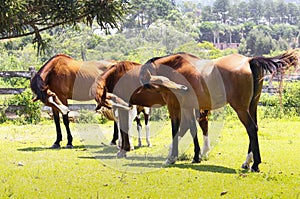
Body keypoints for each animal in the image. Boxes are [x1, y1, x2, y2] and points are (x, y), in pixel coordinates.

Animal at [139, 50, 298, 172]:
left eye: (149, 85)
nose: (183, 89)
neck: (175, 68)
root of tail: (249, 60)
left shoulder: (176, 106)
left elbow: (177, 129)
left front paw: (172, 157)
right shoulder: (189, 107)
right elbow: (190, 128)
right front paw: (195, 156)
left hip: (241, 109)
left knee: (251, 128)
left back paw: (255, 165)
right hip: (252, 107)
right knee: (254, 128)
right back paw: (247, 162)